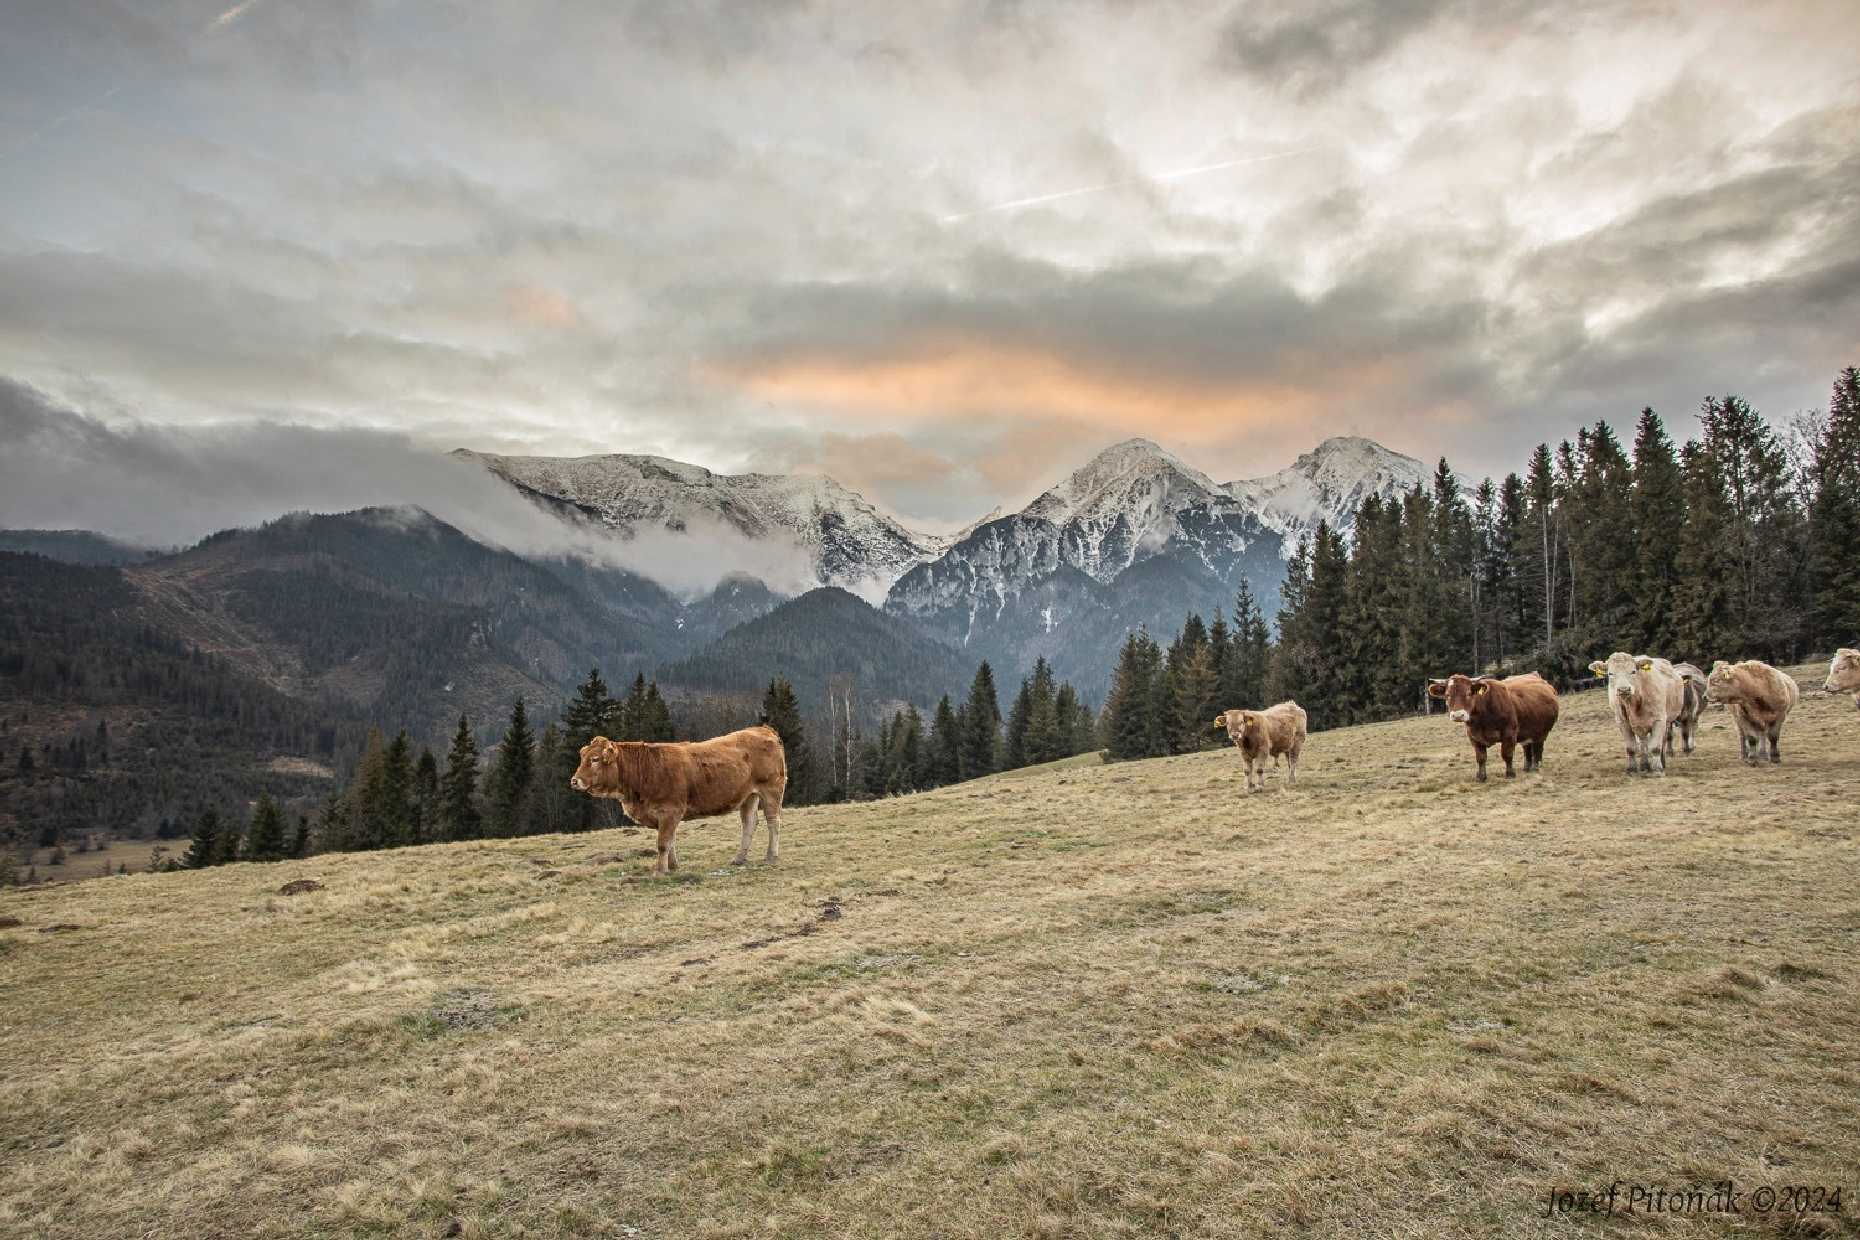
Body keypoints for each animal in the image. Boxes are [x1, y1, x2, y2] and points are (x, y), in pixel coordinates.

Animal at [572, 721, 792, 877]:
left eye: (595, 759)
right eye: (582, 758)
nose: (575, 780)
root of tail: (763, 729)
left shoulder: (670, 810)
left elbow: (663, 843)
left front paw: (660, 871)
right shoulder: (666, 815)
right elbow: (671, 841)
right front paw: (673, 866)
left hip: (771, 789)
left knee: (773, 822)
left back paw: (771, 856)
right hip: (748, 795)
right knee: (749, 824)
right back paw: (739, 858)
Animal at [1428, 672, 1562, 780]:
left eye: (1469, 693)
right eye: (1447, 695)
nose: (1458, 715)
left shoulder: (1509, 733)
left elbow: (1507, 754)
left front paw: (1510, 774)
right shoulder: (1474, 737)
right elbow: (1481, 757)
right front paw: (1481, 776)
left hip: (1542, 731)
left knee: (1538, 747)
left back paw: (1535, 767)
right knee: (1527, 747)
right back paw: (1526, 767)